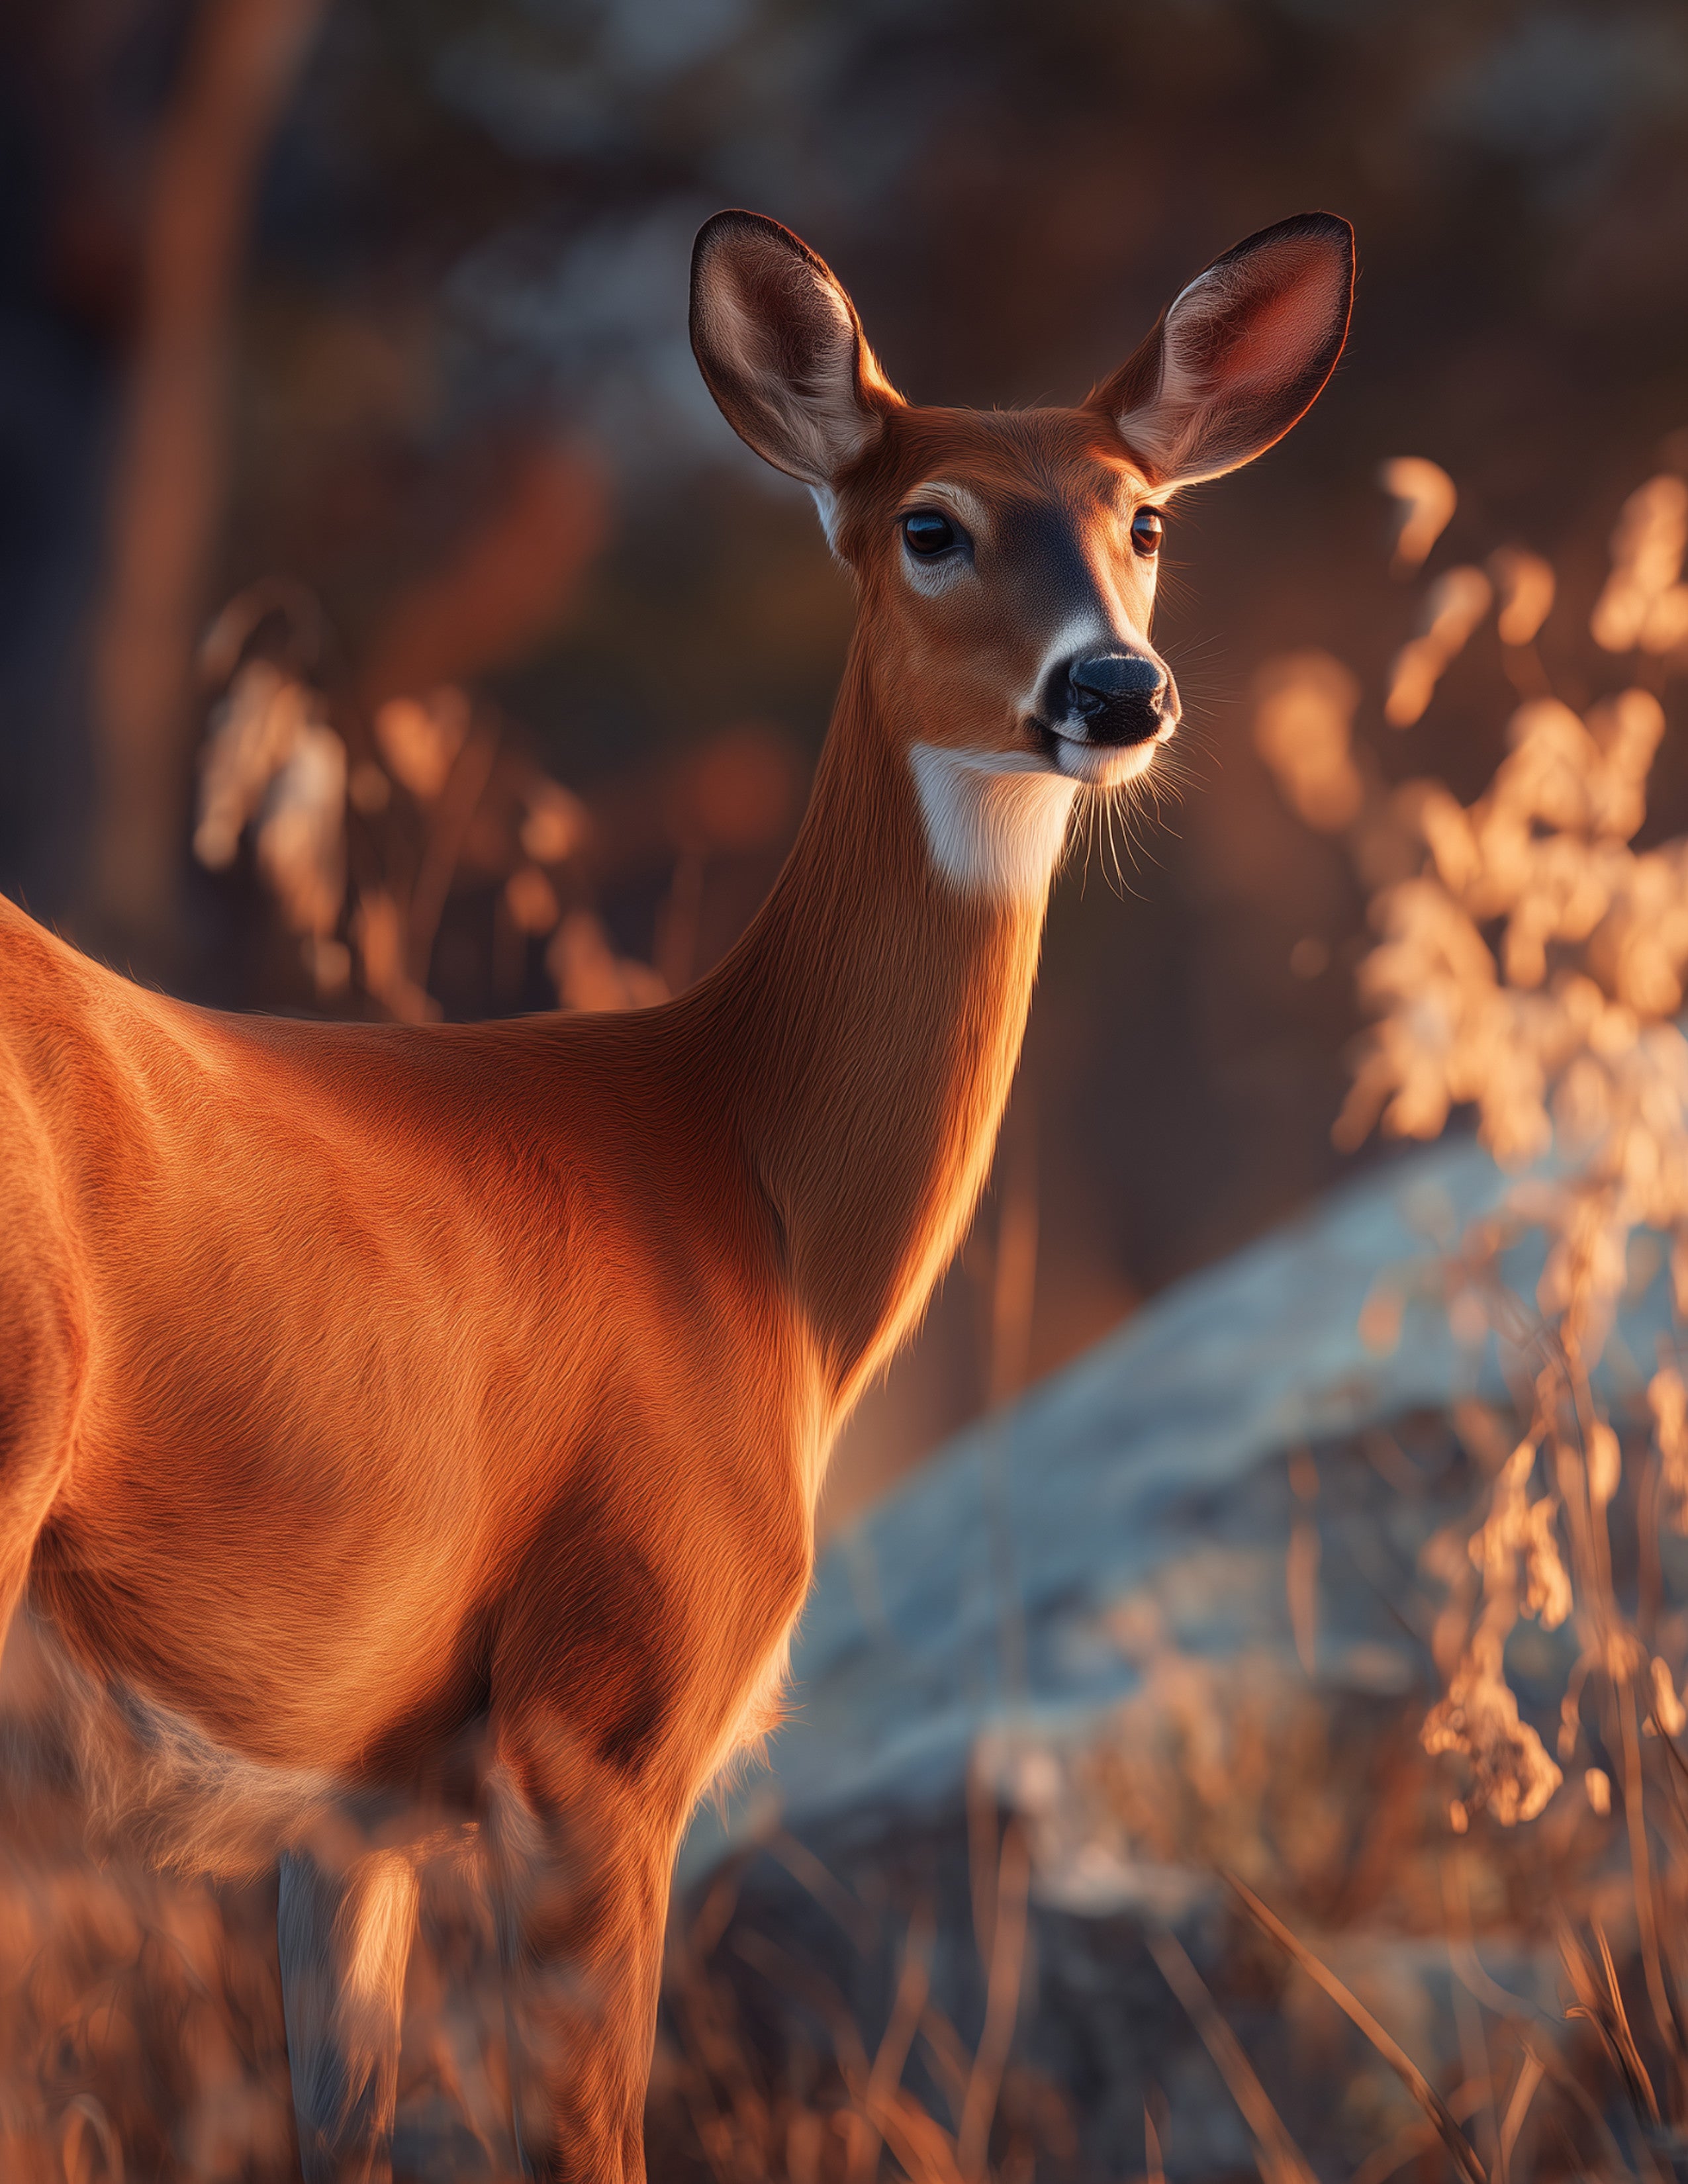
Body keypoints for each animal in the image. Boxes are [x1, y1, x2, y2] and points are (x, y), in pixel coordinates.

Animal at [0, 206, 1352, 2181]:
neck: (749, 1203)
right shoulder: (607, 1708)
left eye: (1145, 519)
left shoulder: (357, 1807)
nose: (1114, 690)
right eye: (929, 523)